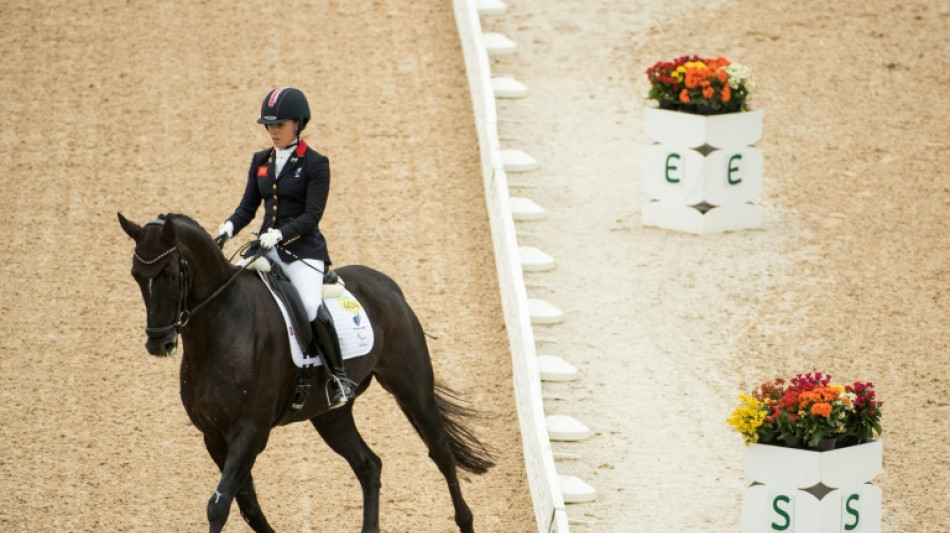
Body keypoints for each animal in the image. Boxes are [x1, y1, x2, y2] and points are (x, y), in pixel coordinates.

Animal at [117, 213, 498, 532]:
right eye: (136, 276)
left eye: (169, 273)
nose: (159, 342)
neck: (221, 329)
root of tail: (386, 284)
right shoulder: (213, 436)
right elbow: (247, 506)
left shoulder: (250, 432)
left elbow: (219, 505)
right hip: (330, 414)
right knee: (368, 464)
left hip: (412, 387)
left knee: (441, 454)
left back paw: (465, 521)